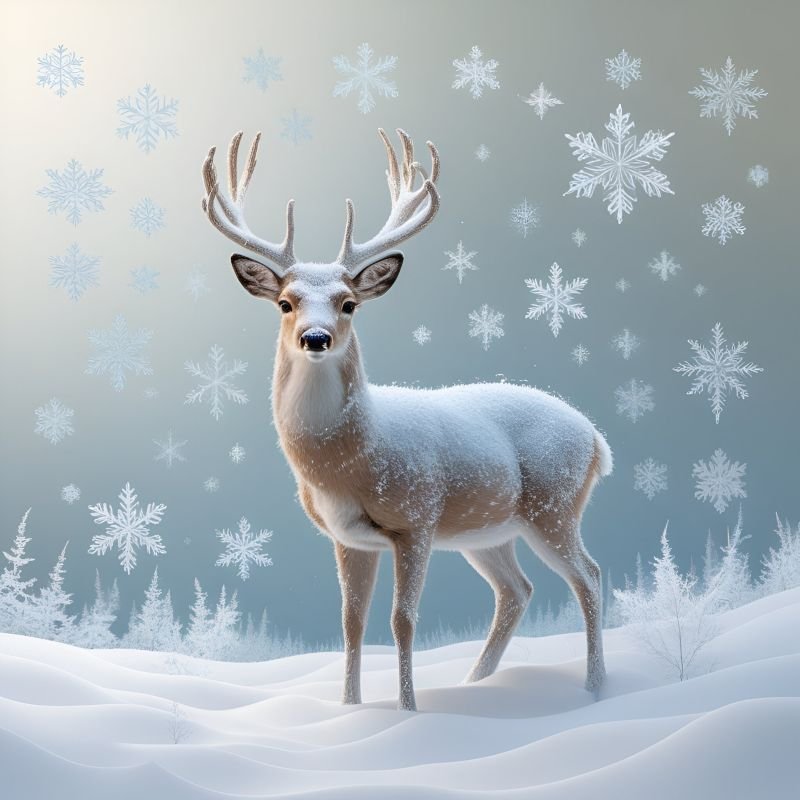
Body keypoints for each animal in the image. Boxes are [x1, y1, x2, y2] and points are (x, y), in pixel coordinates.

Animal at [200, 128, 612, 711]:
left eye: (349, 303)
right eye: (285, 302)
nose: (315, 338)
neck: (346, 462)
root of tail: (597, 439)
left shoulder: (414, 520)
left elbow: (403, 620)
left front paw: (408, 709)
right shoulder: (348, 538)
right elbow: (351, 623)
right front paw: (350, 708)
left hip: (553, 506)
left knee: (589, 578)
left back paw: (595, 688)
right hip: (488, 530)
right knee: (517, 590)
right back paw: (475, 683)